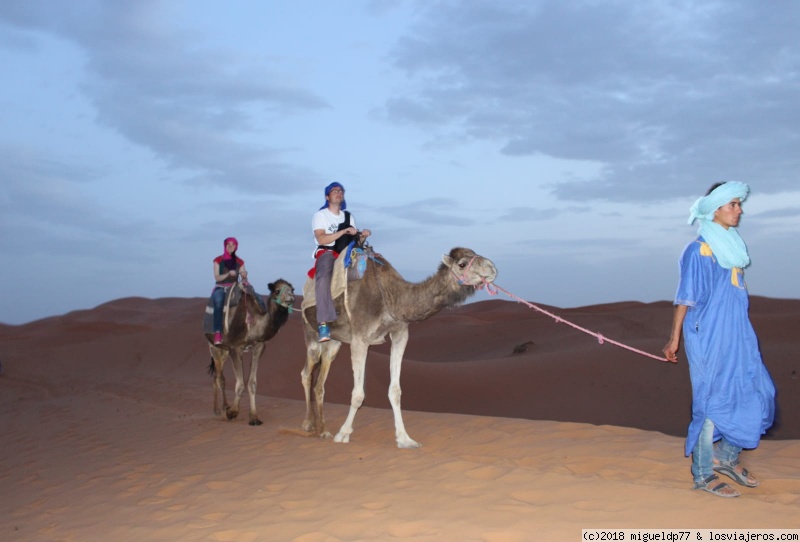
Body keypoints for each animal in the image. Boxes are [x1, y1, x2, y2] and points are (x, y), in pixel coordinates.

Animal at [206, 280, 294, 430]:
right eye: (277, 291)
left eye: (292, 289)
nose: (291, 297)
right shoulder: (235, 348)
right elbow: (240, 384)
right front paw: (232, 412)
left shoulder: (259, 347)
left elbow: (252, 383)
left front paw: (254, 418)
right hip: (214, 346)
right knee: (220, 378)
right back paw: (222, 408)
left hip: (224, 351)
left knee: (216, 377)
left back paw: (218, 409)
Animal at [302, 246, 496, 450]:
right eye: (462, 264)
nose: (492, 268)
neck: (391, 296)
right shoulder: (360, 339)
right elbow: (358, 394)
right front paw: (343, 433)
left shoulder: (400, 334)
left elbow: (395, 391)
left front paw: (405, 439)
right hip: (311, 332)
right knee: (307, 372)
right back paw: (308, 424)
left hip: (334, 341)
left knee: (320, 381)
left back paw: (323, 430)